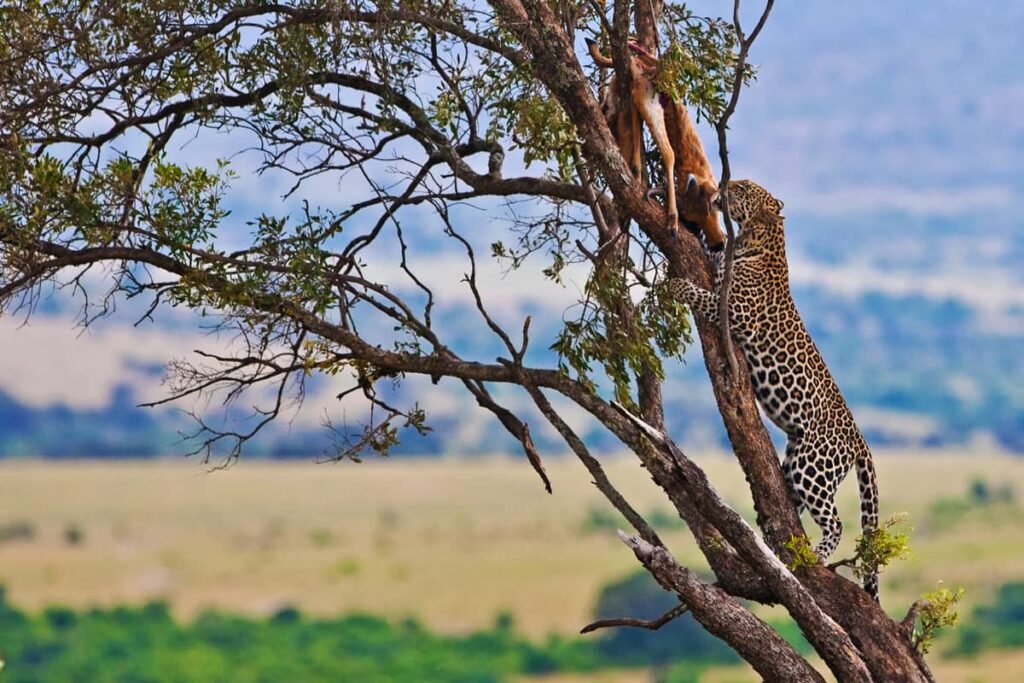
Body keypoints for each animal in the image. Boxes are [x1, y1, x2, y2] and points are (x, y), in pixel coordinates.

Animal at [669, 179, 881, 600]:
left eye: (741, 188)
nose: (720, 185)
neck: (757, 239)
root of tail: (858, 439)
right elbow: (711, 255)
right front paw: (694, 231)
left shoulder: (733, 310)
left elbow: (704, 294)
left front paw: (678, 284)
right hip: (796, 456)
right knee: (789, 503)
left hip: (814, 466)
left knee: (835, 521)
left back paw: (817, 555)